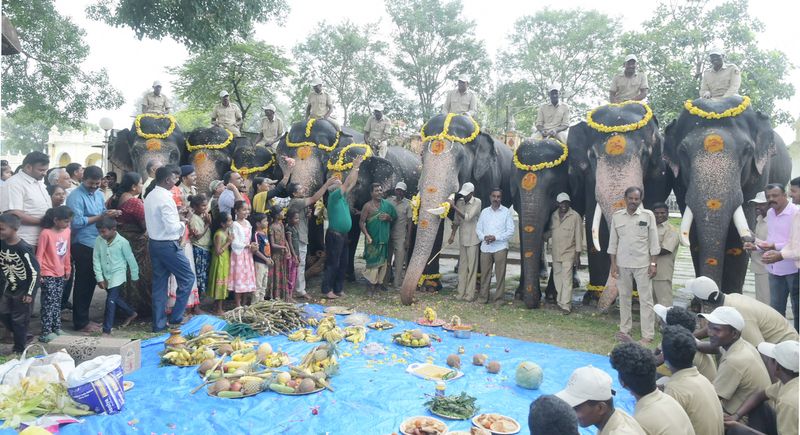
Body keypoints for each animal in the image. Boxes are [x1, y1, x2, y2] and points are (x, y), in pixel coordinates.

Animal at [510, 138, 572, 308]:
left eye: (553, 190)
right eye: (516, 189)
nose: (535, 302)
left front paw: (552, 296)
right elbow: (524, 231)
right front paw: (520, 294)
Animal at [564, 100, 672, 308]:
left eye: (644, 154)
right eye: (592, 156)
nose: (600, 309)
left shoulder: (658, 173)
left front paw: (636, 298)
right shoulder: (590, 179)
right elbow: (594, 224)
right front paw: (594, 298)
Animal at [664, 95, 788, 292]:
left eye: (747, 151)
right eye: (682, 151)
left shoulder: (759, 173)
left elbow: (737, 239)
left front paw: (730, 297)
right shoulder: (679, 179)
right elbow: (694, 234)